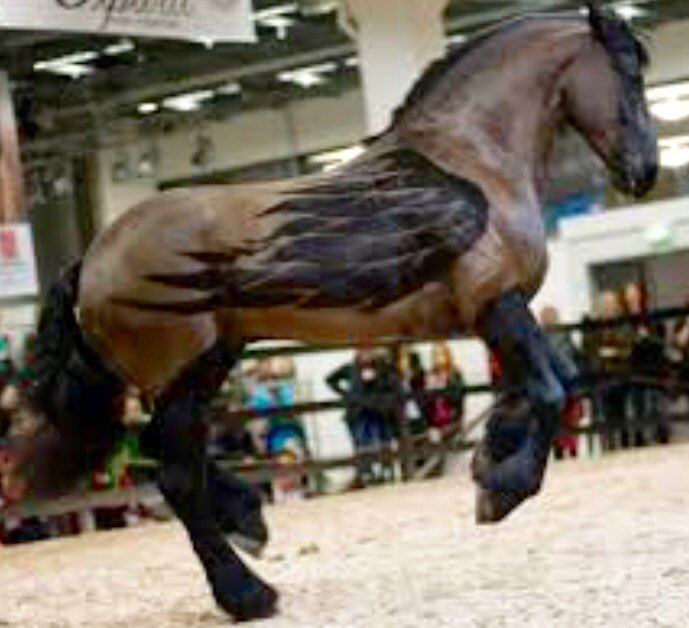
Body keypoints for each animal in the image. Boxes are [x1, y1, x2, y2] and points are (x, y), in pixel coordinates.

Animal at [0, 4, 657, 621]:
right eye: (630, 73)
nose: (645, 172)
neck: (474, 161)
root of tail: (89, 260)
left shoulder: (495, 316)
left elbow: (555, 382)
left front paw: (489, 455)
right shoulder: (496, 304)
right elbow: (550, 391)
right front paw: (500, 490)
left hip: (206, 364)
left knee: (160, 454)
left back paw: (249, 521)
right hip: (181, 374)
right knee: (175, 477)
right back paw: (248, 594)